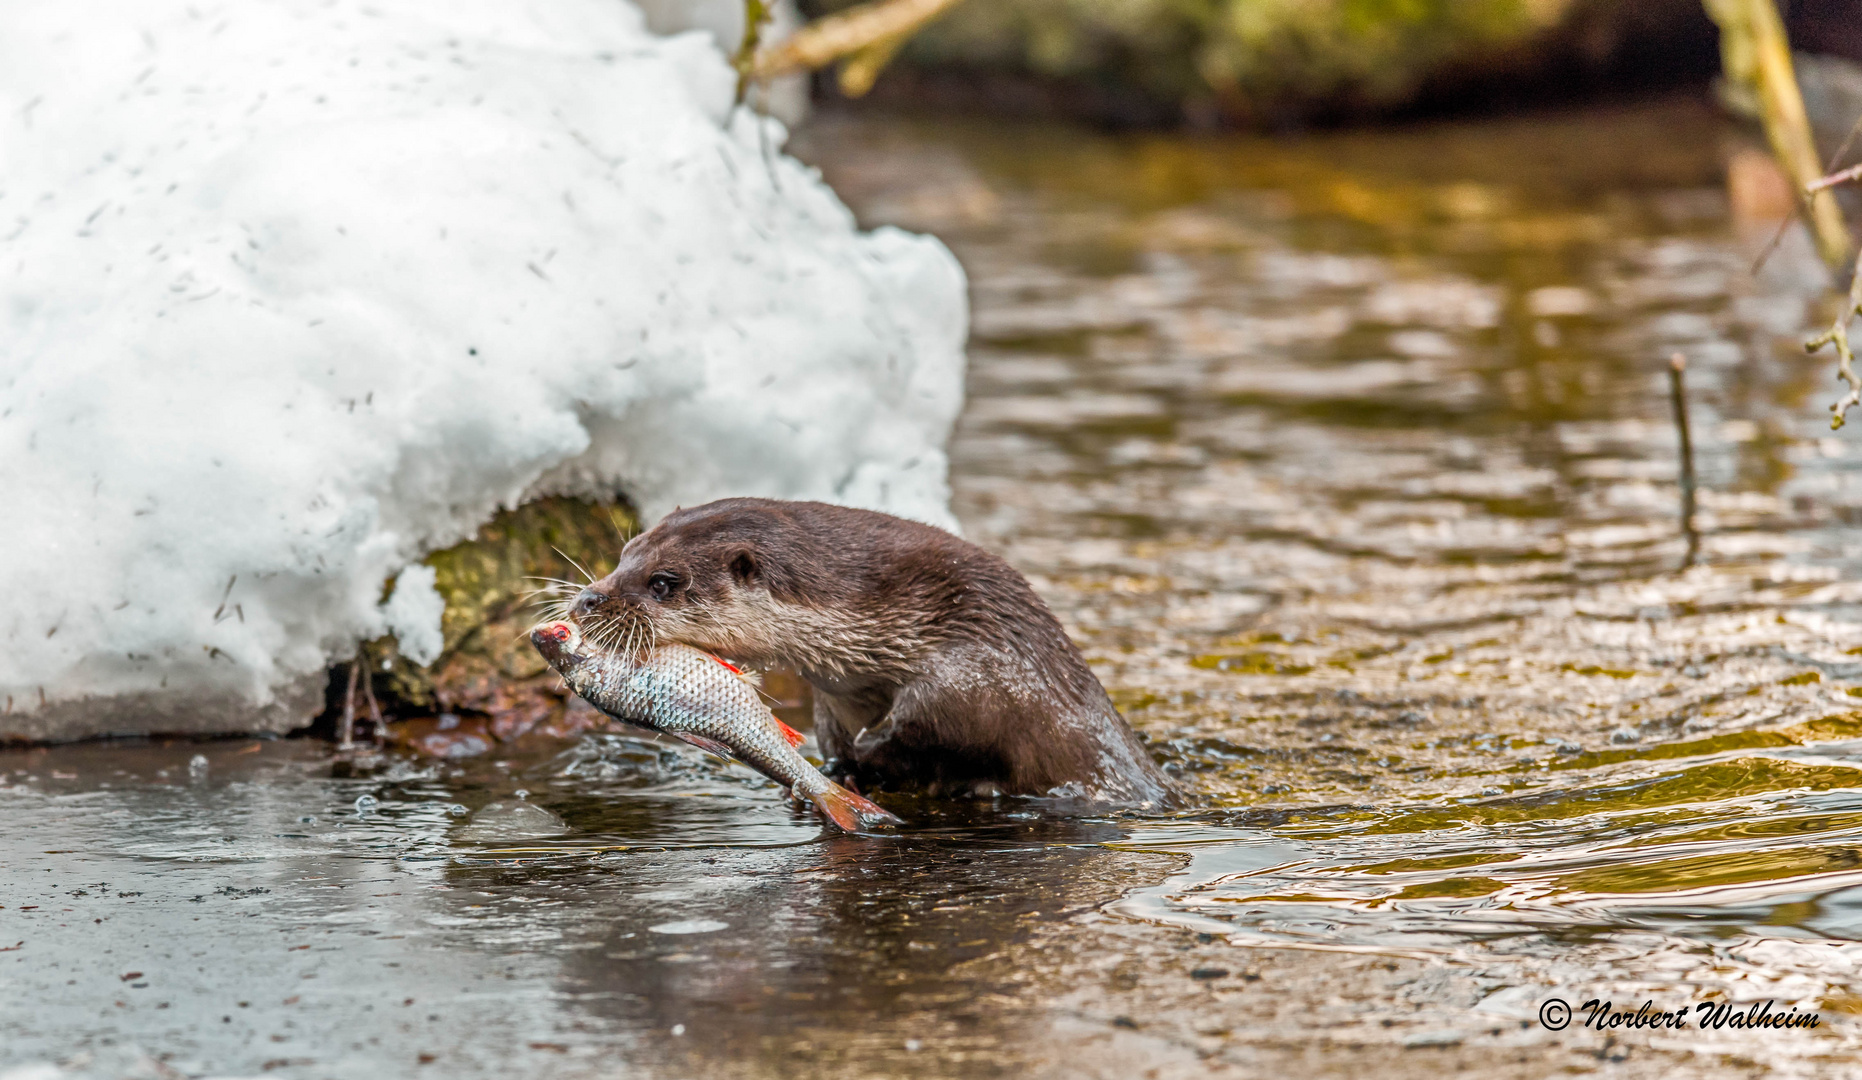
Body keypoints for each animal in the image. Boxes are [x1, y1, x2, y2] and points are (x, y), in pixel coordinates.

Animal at [569, 502, 1176, 804]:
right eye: (625, 552)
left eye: (664, 582)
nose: (589, 599)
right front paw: (839, 770)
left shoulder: (985, 663)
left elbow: (952, 720)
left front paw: (871, 753)